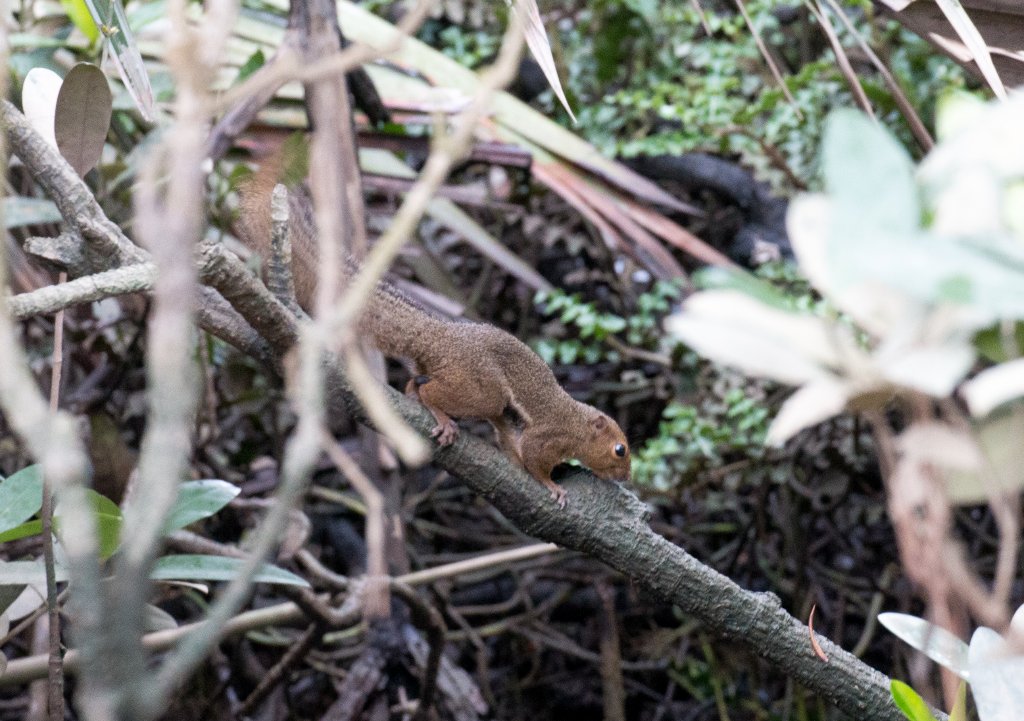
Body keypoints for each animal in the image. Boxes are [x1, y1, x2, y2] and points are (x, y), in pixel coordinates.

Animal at [237, 169, 631, 508]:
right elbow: (535, 459)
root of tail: (438, 335)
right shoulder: (549, 436)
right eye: (620, 450)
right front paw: (552, 486)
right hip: (482, 389)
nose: (627, 477)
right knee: (433, 392)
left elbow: (514, 446)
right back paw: (442, 418)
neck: (577, 424)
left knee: (420, 384)